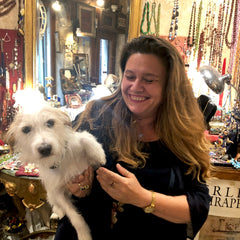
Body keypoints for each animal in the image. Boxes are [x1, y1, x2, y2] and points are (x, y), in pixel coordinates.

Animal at [6, 105, 106, 240]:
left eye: (50, 122)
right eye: (26, 129)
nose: (45, 149)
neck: (60, 161)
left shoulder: (92, 165)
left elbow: (83, 137)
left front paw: (98, 153)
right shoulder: (58, 192)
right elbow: (74, 216)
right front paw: (84, 235)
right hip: (51, 194)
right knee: (55, 204)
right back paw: (58, 213)